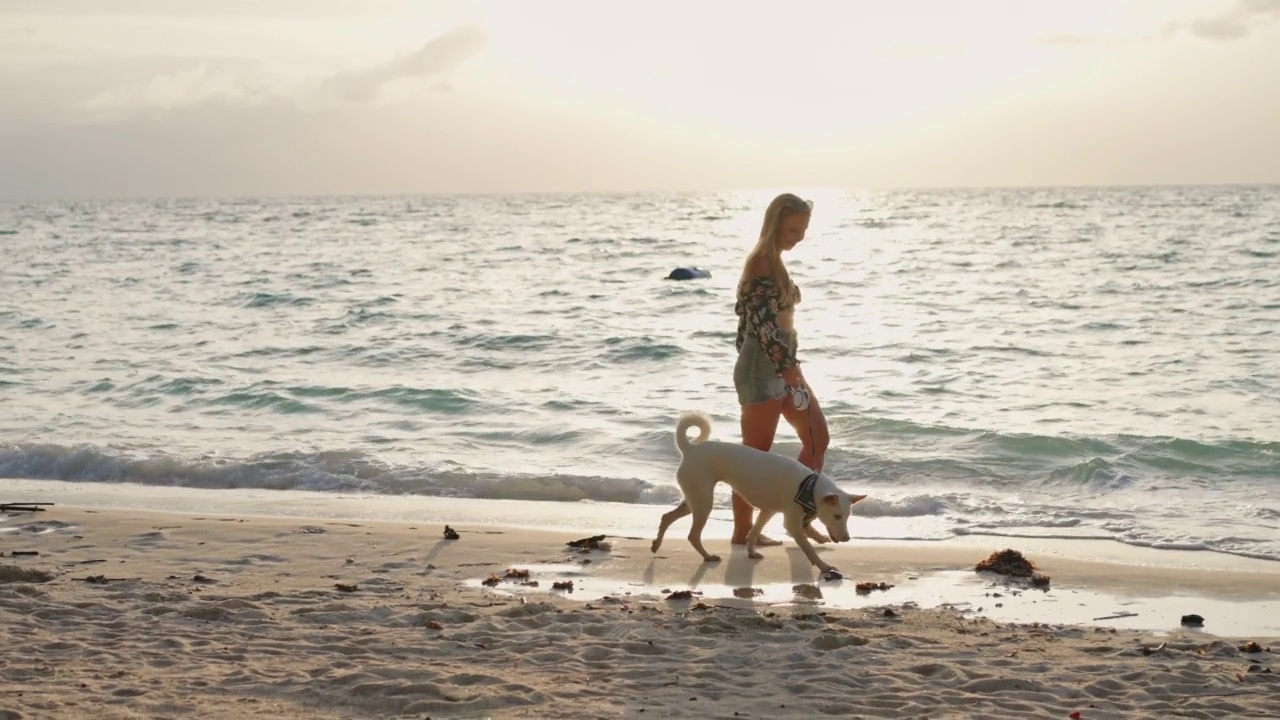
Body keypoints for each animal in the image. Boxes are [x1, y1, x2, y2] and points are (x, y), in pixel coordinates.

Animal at [650, 409, 870, 571]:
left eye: (847, 517)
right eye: (836, 516)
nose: (846, 539)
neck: (807, 486)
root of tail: (690, 449)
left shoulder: (768, 511)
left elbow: (754, 531)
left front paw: (751, 551)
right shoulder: (791, 524)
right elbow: (808, 549)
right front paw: (824, 566)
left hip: (694, 499)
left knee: (667, 517)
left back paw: (656, 544)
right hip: (704, 502)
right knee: (692, 535)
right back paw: (707, 556)